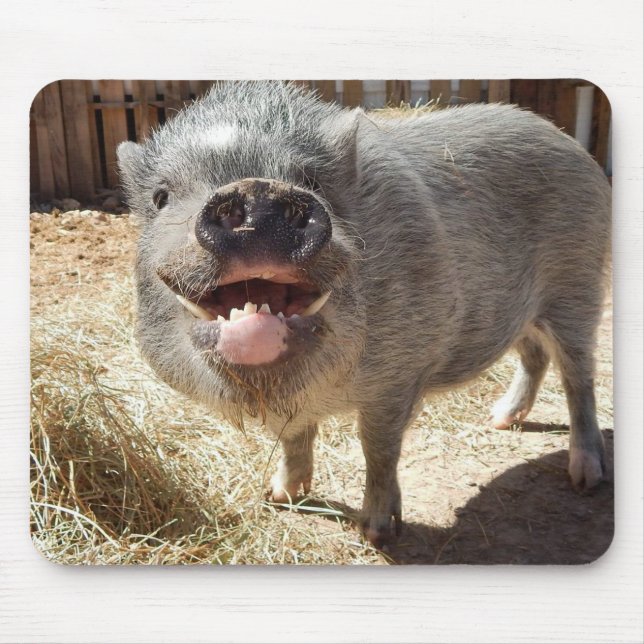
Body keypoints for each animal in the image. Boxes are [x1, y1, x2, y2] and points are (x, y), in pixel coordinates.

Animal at [117, 81, 611, 546]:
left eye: (314, 181)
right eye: (161, 197)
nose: (254, 190)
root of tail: (566, 138)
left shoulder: (399, 374)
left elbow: (377, 447)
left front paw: (376, 532)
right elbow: (295, 435)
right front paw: (278, 498)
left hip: (579, 285)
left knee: (579, 378)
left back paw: (586, 479)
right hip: (526, 309)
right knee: (534, 355)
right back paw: (500, 420)